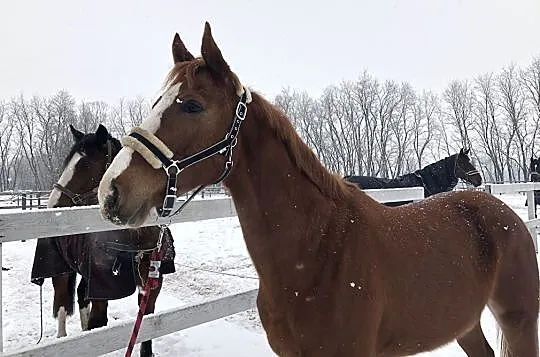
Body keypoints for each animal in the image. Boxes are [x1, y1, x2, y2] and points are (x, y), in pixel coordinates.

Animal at [30, 124, 175, 354]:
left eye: (85, 165)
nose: (52, 206)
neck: (136, 244)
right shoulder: (101, 291)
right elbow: (97, 325)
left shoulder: (150, 290)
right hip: (61, 271)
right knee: (61, 304)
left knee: (80, 296)